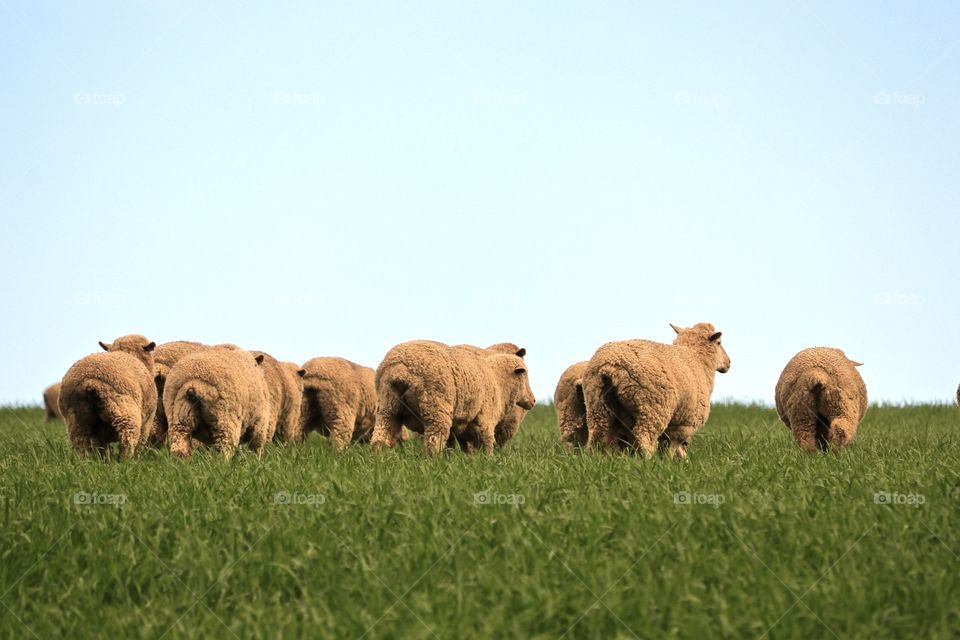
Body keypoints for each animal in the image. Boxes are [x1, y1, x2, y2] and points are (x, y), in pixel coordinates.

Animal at [371, 340, 536, 455]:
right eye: (525, 374)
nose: (533, 400)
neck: (498, 380)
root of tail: (401, 369)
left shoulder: (463, 427)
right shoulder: (485, 421)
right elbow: (487, 446)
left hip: (387, 407)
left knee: (379, 439)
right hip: (436, 410)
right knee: (434, 444)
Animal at [582, 323, 730, 457]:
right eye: (719, 342)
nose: (729, 363)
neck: (697, 358)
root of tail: (610, 365)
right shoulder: (684, 424)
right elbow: (672, 448)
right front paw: (671, 463)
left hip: (597, 404)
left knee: (597, 437)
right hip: (653, 408)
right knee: (644, 437)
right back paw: (648, 461)